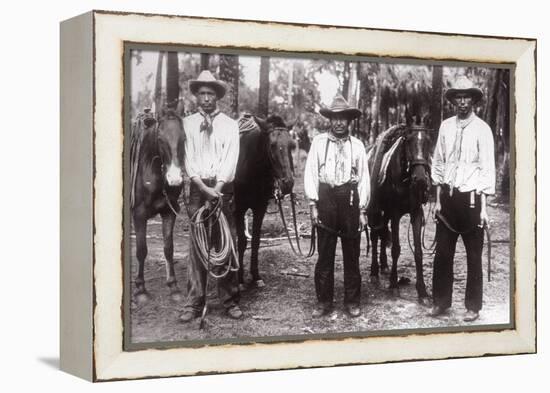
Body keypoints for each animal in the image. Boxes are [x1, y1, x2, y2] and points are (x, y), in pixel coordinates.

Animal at [130, 108, 187, 302]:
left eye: (183, 138)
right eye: (160, 139)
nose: (175, 178)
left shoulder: (169, 211)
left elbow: (168, 248)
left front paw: (174, 286)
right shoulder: (138, 215)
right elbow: (141, 250)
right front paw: (140, 289)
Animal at [236, 114, 300, 288]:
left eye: (291, 145)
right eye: (272, 145)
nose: (287, 183)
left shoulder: (260, 208)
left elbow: (256, 241)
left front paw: (256, 276)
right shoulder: (238, 209)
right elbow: (242, 242)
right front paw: (239, 280)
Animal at [368, 124, 434, 302]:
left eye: (428, 142)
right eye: (408, 141)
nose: (420, 179)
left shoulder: (416, 213)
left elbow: (418, 252)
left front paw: (422, 291)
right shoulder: (396, 214)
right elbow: (396, 249)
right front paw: (393, 285)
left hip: (386, 213)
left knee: (383, 233)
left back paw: (384, 265)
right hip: (378, 210)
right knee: (375, 236)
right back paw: (374, 272)